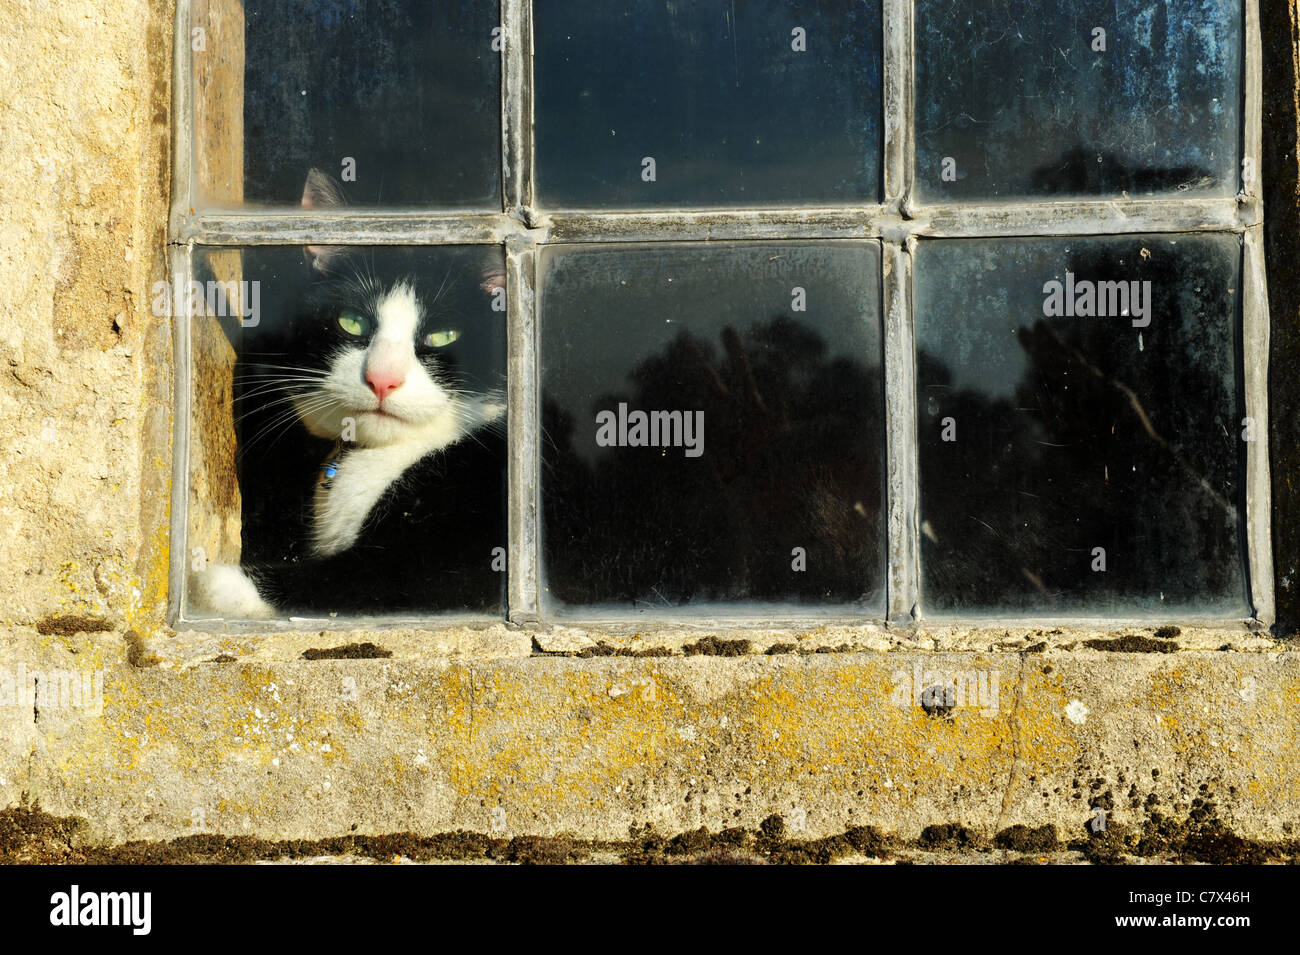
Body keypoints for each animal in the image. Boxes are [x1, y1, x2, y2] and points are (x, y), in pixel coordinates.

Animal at [192, 170, 506, 621]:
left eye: (443, 335)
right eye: (352, 322)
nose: (382, 379)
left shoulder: (468, 561)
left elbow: (376, 581)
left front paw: (218, 583)